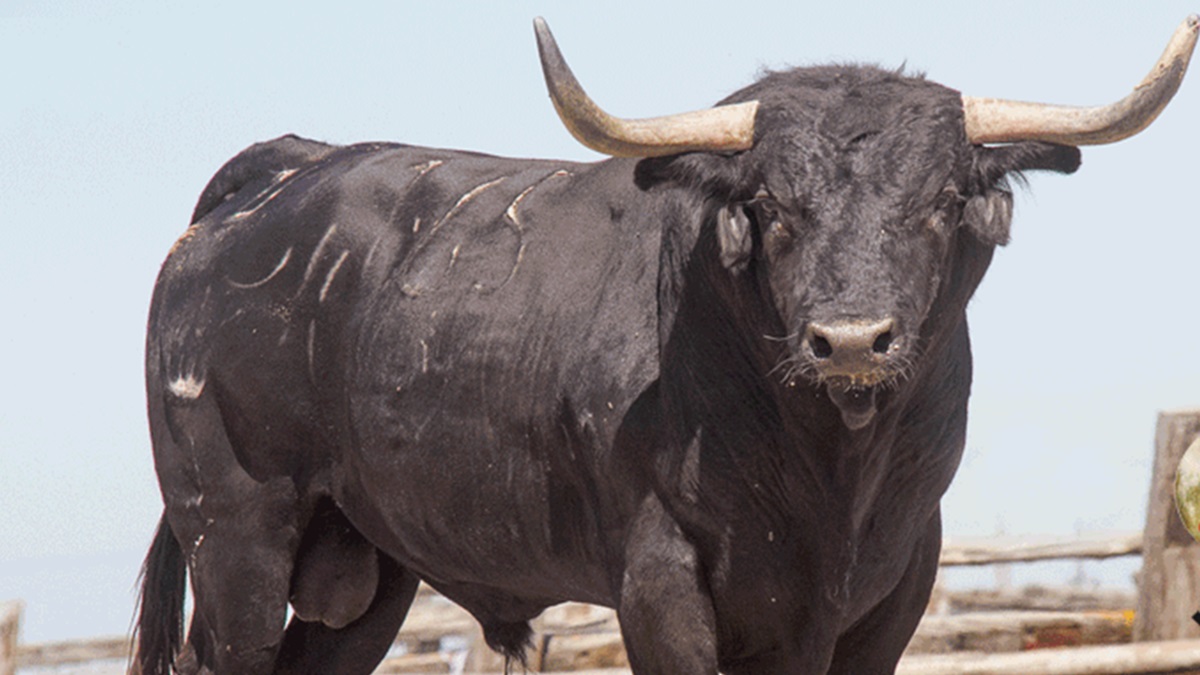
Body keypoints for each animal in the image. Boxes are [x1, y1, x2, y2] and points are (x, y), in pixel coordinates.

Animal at [136, 15, 1195, 672]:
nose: (851, 339)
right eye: (768, 204)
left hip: (364, 568)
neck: (831, 472)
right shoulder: (661, 581)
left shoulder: (895, 584)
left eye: (942, 201)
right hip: (235, 535)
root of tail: (286, 171)